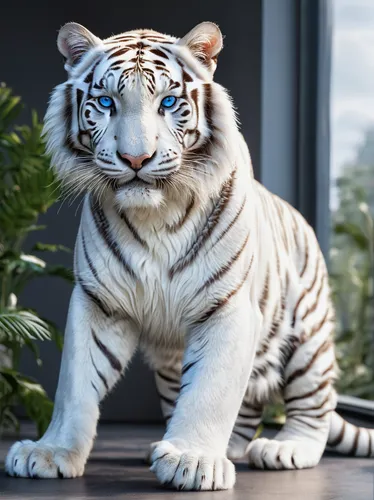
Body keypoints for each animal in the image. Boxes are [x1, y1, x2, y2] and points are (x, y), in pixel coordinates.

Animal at [5, 21, 374, 490]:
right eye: (105, 102)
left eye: (168, 102)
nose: (136, 158)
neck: (155, 215)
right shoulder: (98, 303)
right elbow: (75, 383)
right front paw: (51, 451)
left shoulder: (229, 307)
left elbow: (210, 391)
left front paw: (193, 459)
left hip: (308, 337)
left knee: (314, 411)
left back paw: (284, 448)